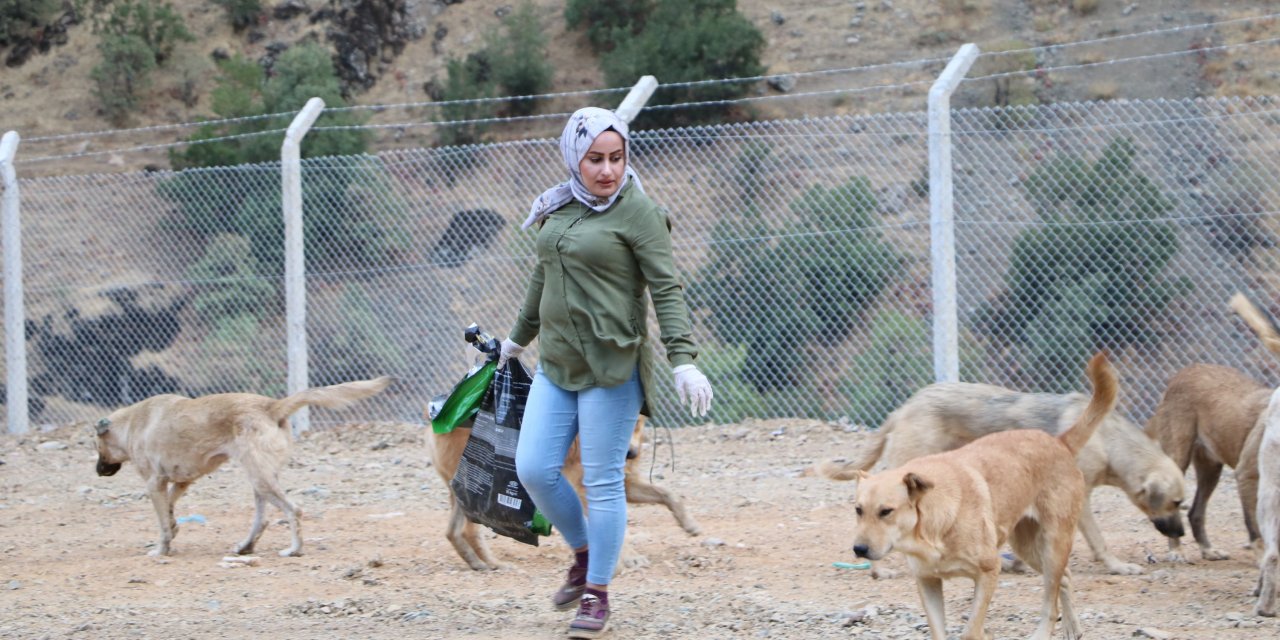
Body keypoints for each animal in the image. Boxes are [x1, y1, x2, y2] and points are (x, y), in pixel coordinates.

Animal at [93, 376, 389, 558]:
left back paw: (293, 550)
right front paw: (175, 525)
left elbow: (162, 522)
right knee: (263, 518)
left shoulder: (154, 483)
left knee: (294, 510)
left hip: (260, 478)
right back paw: (246, 547)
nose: (97, 471)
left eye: (95, 446)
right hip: (261, 479)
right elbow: (169, 507)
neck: (131, 423)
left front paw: (162, 548)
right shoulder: (182, 481)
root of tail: (271, 406)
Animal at [435, 412, 706, 573]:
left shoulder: (625, 485)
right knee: (468, 531)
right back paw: (494, 564)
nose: (631, 454)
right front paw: (630, 558)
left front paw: (689, 524)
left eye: (636, 424)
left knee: (452, 532)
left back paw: (479, 564)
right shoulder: (588, 491)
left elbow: (670, 494)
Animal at [814, 371, 1182, 576]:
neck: (1109, 440)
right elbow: (1099, 540)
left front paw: (1017, 564)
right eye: (1176, 503)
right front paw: (1119, 566)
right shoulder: (1079, 499)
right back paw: (878, 569)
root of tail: (904, 406)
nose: (1180, 535)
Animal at [849, 353, 1111, 637]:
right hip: (1028, 547)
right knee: (1065, 577)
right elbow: (938, 631)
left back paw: (1045, 632)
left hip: (1054, 543)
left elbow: (970, 631)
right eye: (858, 510)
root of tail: (1059, 442)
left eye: (886, 511)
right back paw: (1073, 629)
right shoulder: (928, 580)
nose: (859, 549)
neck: (932, 527)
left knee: (1051, 602)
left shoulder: (988, 571)